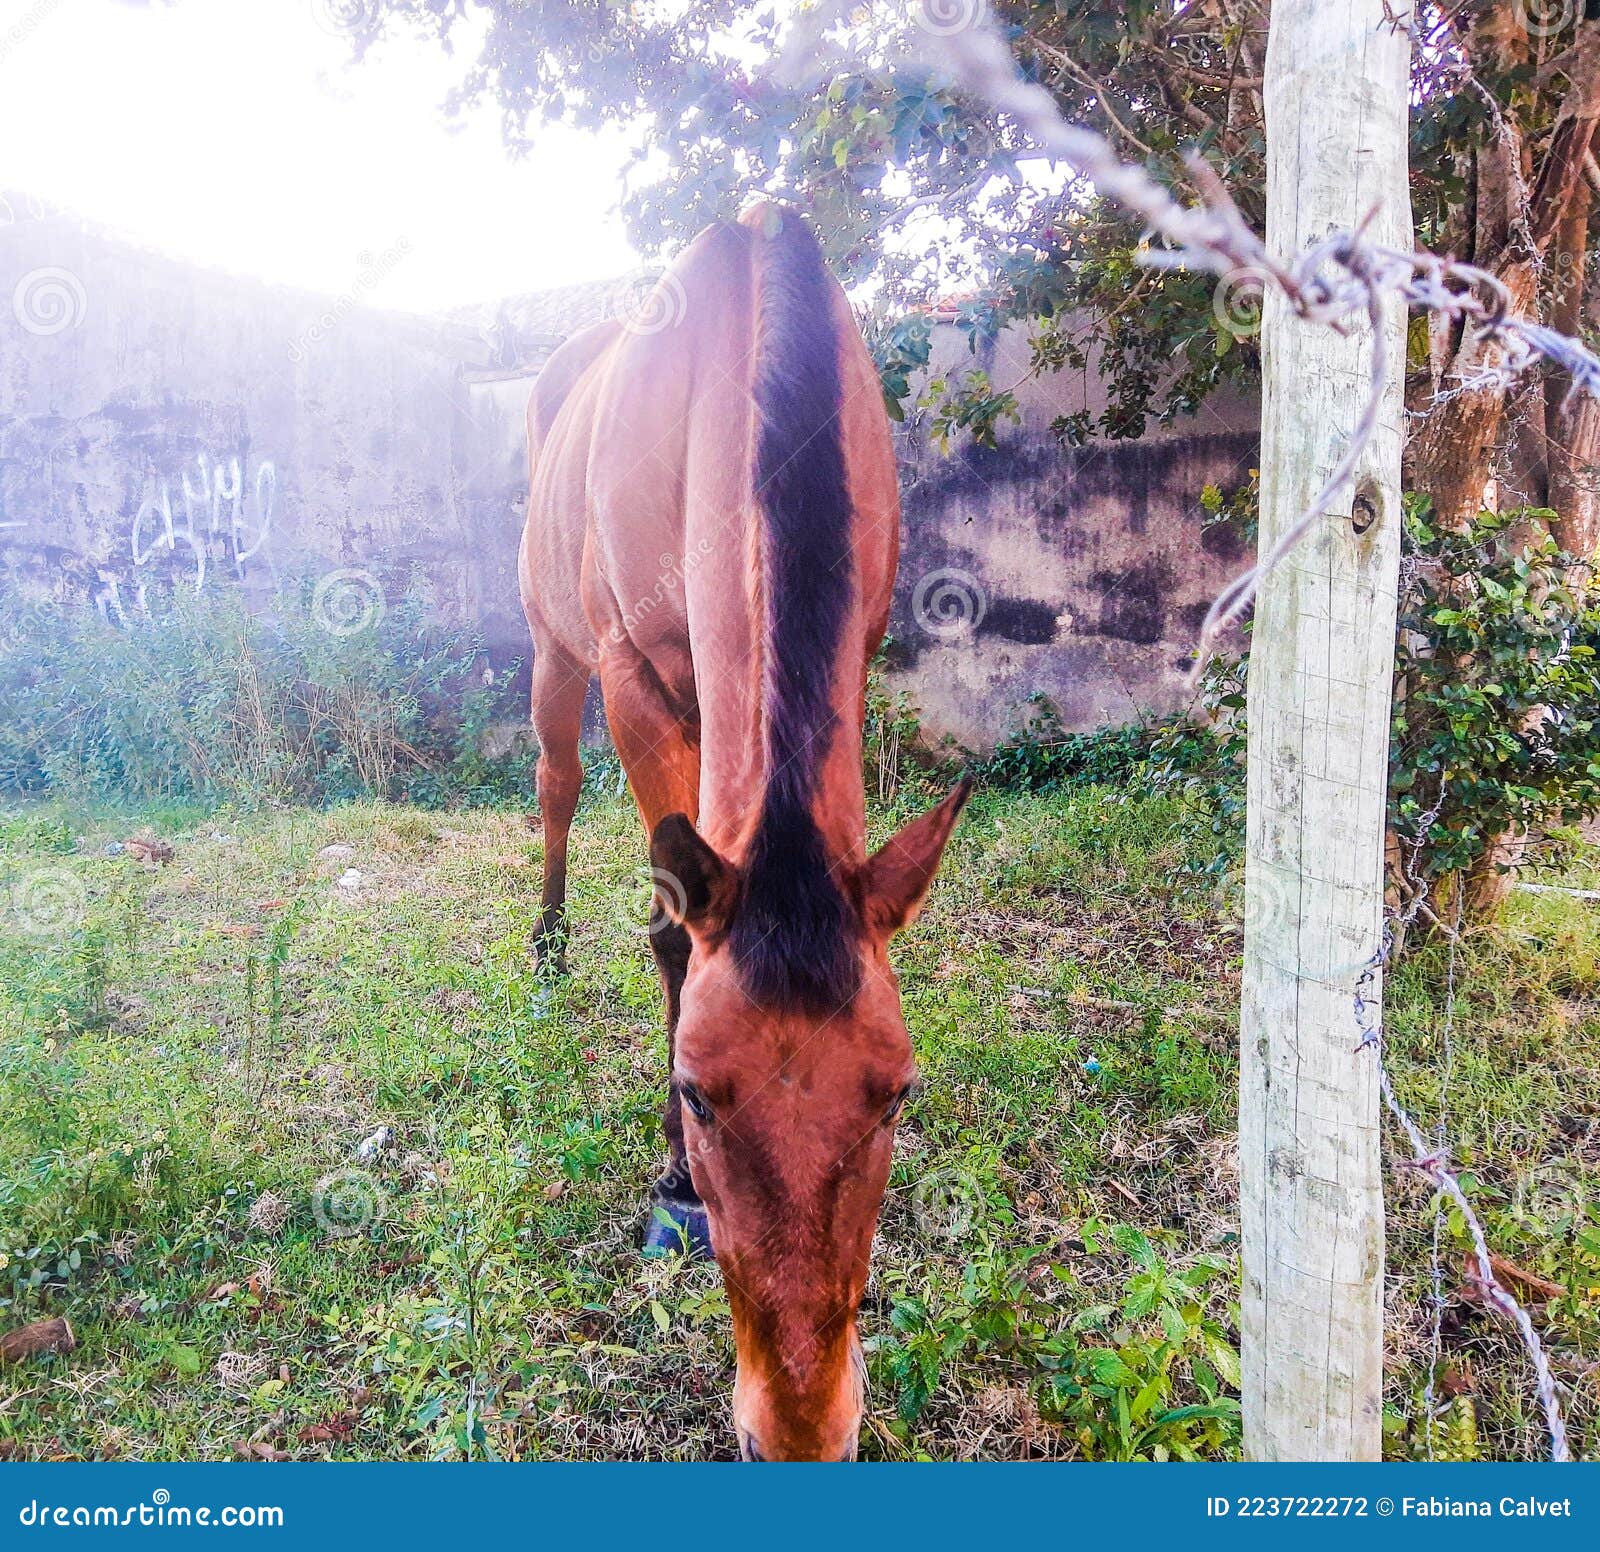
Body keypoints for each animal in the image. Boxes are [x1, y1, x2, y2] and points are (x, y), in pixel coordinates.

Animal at [518, 202, 966, 1452]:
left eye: (897, 1091)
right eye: (693, 1091)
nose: (802, 1433)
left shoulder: (857, 643)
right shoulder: (634, 677)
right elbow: (674, 929)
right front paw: (673, 1191)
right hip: (555, 648)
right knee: (555, 784)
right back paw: (547, 946)